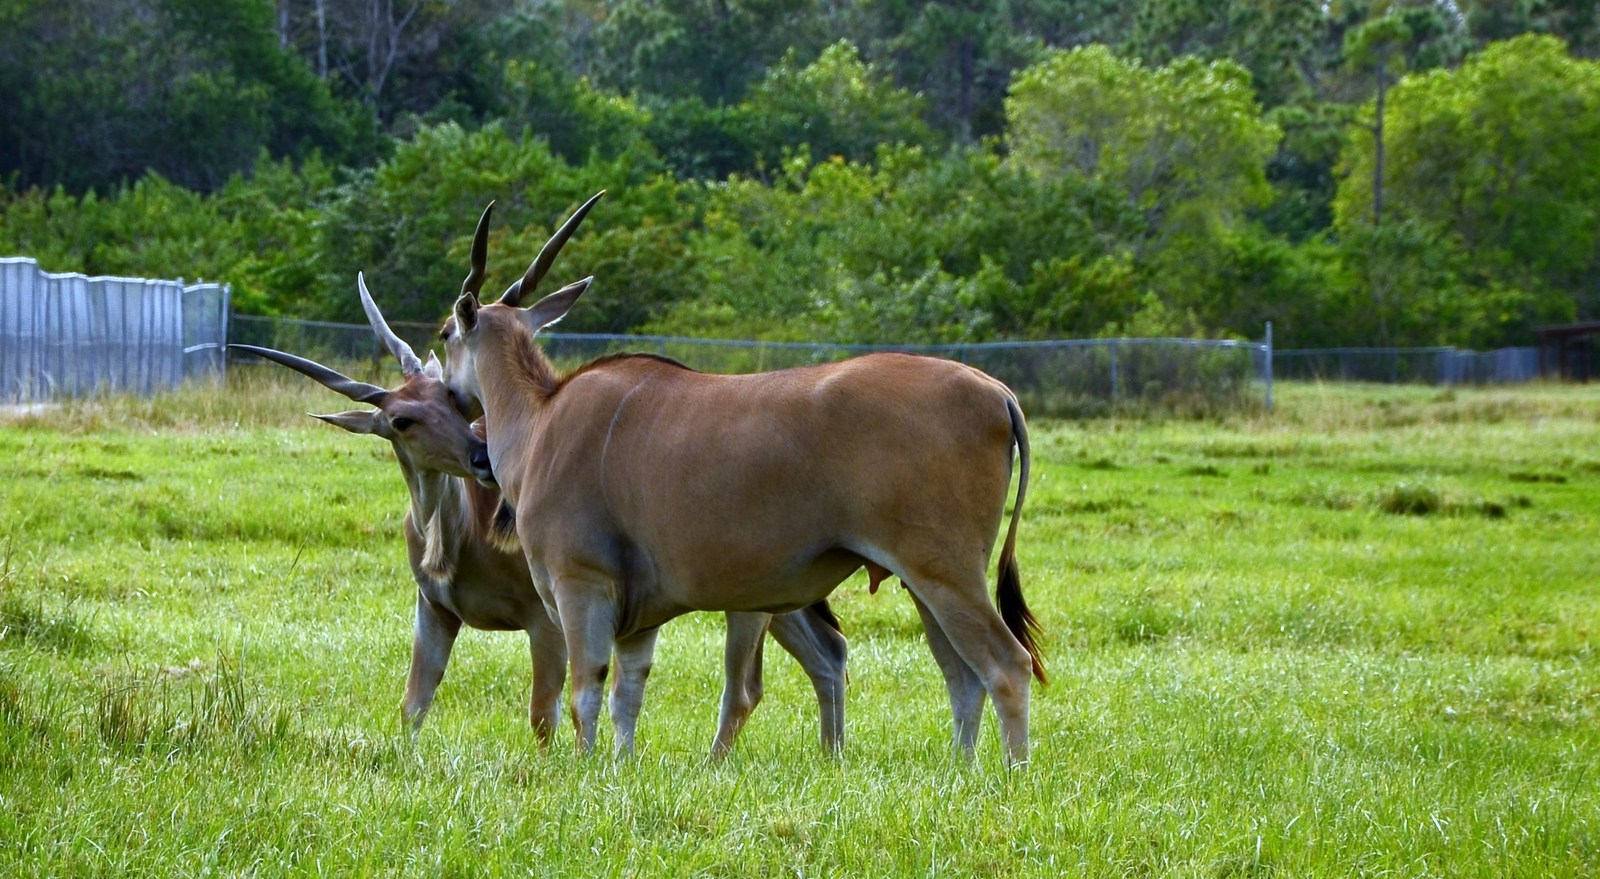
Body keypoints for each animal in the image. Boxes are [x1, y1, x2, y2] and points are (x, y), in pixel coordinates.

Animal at [230, 273, 851, 752]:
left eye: (454, 403)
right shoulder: (435, 611)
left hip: (746, 600)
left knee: (746, 688)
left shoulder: (549, 617)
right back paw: (831, 757)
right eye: (403, 419)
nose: (481, 458)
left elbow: (544, 714)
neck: (452, 539)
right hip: (781, 596)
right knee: (829, 654)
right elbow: (414, 703)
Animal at [438, 192, 1043, 762]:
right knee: (961, 674)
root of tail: (996, 392)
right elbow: (626, 697)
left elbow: (586, 691)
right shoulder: (639, 619)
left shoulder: (580, 585)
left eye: (446, 333)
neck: (543, 418)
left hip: (944, 572)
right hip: (924, 581)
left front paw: (587, 770)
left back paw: (1009, 776)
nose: (450, 395)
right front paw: (619, 767)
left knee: (1007, 665)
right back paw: (959, 771)